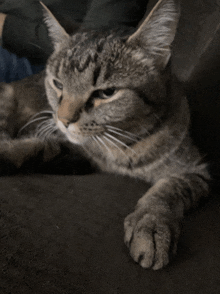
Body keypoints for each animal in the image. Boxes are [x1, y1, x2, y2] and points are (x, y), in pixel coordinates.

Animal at [0, 0, 210, 270]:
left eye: (106, 93)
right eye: (58, 84)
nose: (63, 120)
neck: (120, 146)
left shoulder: (196, 171)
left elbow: (168, 190)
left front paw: (151, 224)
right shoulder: (68, 143)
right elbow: (36, 144)